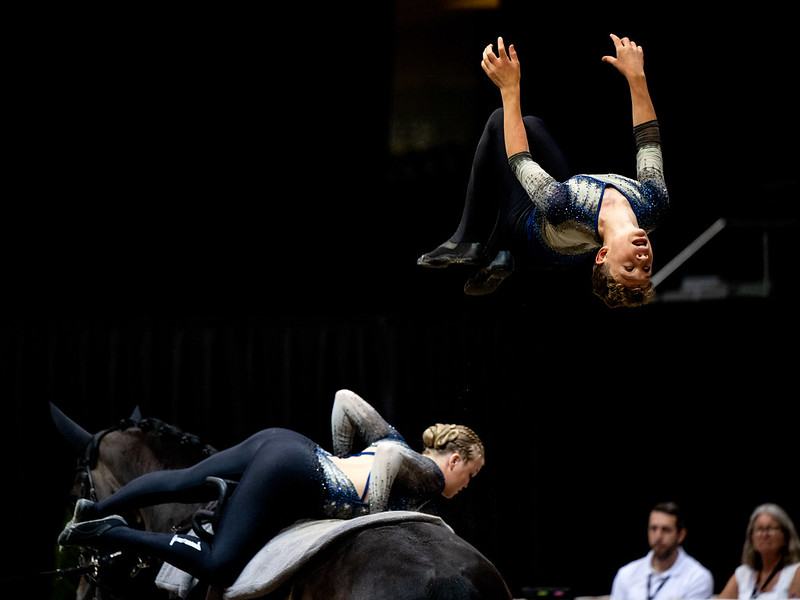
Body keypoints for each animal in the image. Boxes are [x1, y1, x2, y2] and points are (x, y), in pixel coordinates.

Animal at [51, 406, 512, 596]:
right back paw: (89, 523)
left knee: (188, 495)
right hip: (276, 459)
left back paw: (92, 523)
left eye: (72, 489)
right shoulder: (418, 467)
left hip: (265, 453)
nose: (83, 586)